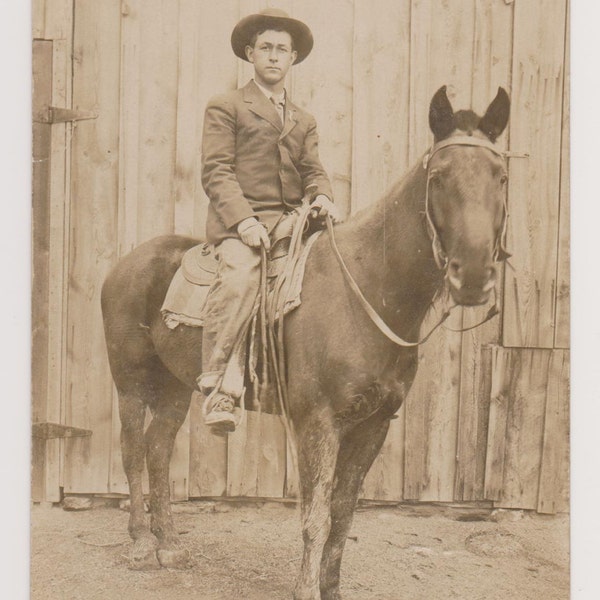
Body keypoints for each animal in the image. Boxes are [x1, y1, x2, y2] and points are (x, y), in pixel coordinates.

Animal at [102, 85, 510, 600]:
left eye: (500, 177)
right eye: (438, 177)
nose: (473, 276)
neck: (365, 288)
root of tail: (125, 264)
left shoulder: (373, 425)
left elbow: (342, 515)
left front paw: (330, 587)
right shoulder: (318, 421)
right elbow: (315, 518)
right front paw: (306, 588)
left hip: (176, 385)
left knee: (157, 450)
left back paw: (170, 545)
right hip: (131, 381)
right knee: (133, 450)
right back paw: (140, 543)